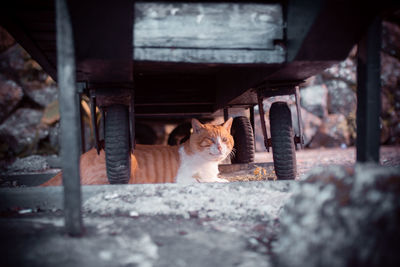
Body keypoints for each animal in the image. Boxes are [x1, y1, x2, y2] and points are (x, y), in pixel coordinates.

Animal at [40, 118, 234, 187]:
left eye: (224, 140)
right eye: (210, 140)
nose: (219, 147)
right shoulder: (184, 178)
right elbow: (204, 180)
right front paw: (219, 180)